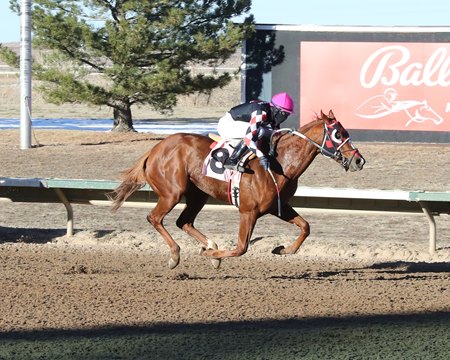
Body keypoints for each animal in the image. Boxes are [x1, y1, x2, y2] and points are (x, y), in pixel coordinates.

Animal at [110, 109, 366, 270]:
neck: (279, 163)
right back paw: (176, 255)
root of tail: (155, 149)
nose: (359, 160)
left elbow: (306, 227)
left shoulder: (278, 207)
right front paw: (210, 255)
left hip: (198, 195)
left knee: (184, 222)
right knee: (155, 218)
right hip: (172, 192)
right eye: (338, 134)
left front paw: (282, 249)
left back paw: (209, 245)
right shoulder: (248, 212)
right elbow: (241, 248)